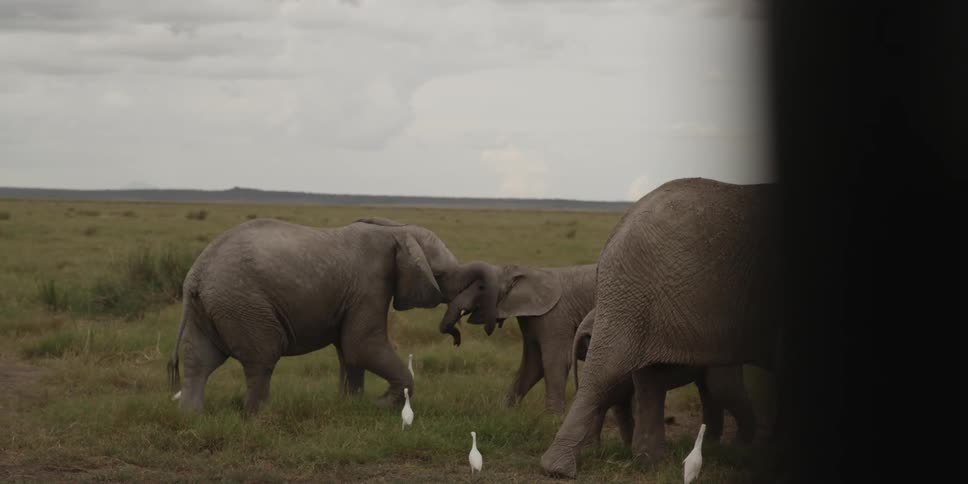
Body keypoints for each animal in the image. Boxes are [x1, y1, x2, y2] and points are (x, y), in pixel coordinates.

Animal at [166, 217, 499, 416]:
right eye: (439, 275)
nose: (456, 334)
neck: (394, 230)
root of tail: (195, 274)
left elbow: (349, 352)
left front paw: (351, 406)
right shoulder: (371, 284)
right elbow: (361, 345)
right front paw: (382, 405)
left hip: (212, 307)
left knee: (200, 360)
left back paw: (193, 418)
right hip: (242, 305)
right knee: (262, 358)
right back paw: (258, 418)